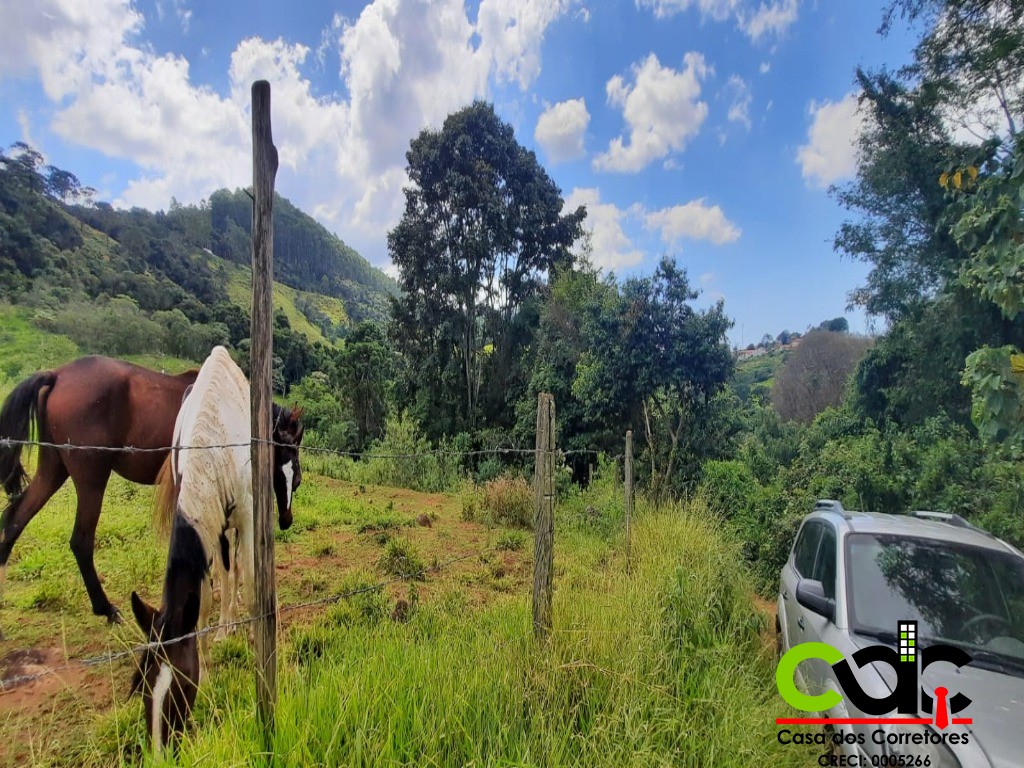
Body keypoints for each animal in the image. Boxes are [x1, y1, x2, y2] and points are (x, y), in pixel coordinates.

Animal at [130, 350, 301, 757]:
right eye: (142, 686)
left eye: (179, 688)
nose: (160, 753)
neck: (211, 446)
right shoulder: (206, 526)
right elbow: (206, 599)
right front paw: (209, 664)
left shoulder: (249, 514)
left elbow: (253, 584)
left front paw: (258, 645)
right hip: (221, 528)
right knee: (227, 570)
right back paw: (226, 625)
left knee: (237, 568)